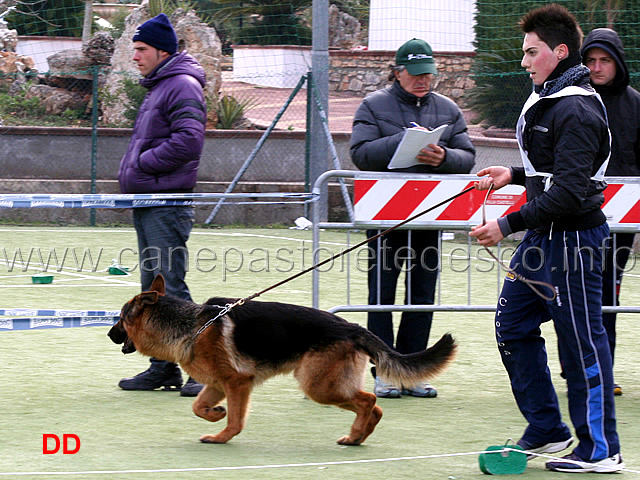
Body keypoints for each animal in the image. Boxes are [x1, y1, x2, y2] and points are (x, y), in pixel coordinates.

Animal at [111, 274, 460, 446]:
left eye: (121, 319)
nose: (110, 334)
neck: (191, 325)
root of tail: (352, 326)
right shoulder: (218, 384)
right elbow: (199, 407)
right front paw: (215, 414)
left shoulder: (237, 383)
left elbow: (235, 420)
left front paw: (222, 436)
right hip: (328, 385)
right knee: (374, 406)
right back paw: (358, 436)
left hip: (318, 386)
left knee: (368, 399)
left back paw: (356, 433)